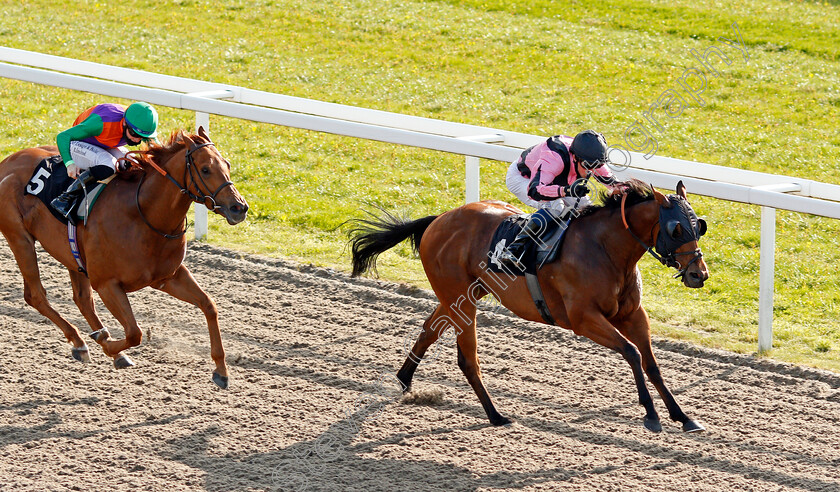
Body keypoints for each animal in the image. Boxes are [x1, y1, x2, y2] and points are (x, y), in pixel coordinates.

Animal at [0, 128, 248, 388]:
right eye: (205, 169)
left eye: (227, 164)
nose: (239, 208)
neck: (143, 214)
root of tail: (8, 160)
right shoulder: (107, 284)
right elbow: (134, 332)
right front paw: (109, 346)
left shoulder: (168, 276)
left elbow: (209, 305)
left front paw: (221, 371)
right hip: (19, 238)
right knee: (36, 296)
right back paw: (82, 342)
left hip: (73, 255)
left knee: (82, 300)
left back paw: (100, 344)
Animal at [348, 180, 708, 430]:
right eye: (677, 229)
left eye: (698, 225)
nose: (699, 274)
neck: (605, 249)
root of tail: (439, 220)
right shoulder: (584, 319)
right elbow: (632, 353)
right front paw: (651, 415)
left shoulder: (633, 315)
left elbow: (651, 363)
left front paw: (683, 416)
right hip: (460, 300)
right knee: (467, 359)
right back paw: (495, 415)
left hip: (461, 296)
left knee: (429, 330)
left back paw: (403, 381)